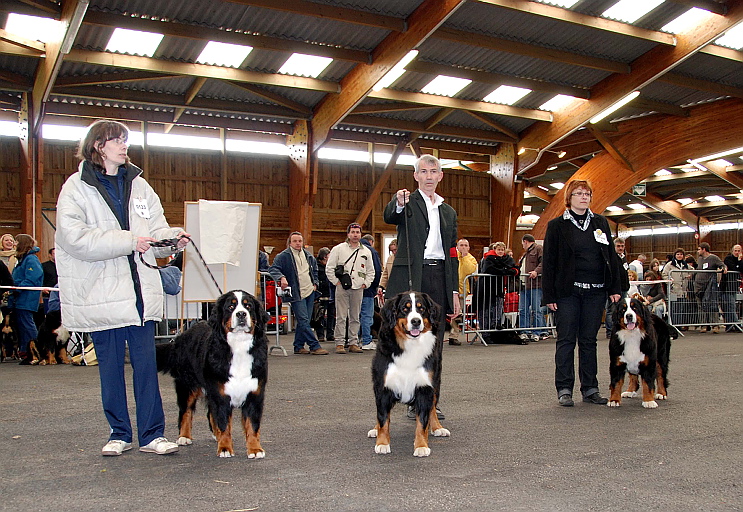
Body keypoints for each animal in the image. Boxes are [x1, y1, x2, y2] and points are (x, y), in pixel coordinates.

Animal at [157, 290, 270, 458]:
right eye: (230, 306)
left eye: (248, 306)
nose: (241, 314)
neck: (238, 347)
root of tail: (181, 337)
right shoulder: (220, 394)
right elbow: (223, 423)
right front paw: (225, 448)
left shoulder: (254, 394)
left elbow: (252, 425)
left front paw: (255, 449)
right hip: (188, 384)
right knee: (186, 411)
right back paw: (184, 436)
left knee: (210, 413)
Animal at [370, 290, 450, 458]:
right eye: (405, 309)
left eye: (421, 309)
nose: (415, 321)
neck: (411, 345)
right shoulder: (383, 387)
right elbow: (383, 418)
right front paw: (382, 443)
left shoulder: (425, 387)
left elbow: (422, 422)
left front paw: (421, 446)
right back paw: (374, 430)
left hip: (436, 383)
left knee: (433, 408)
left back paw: (438, 427)